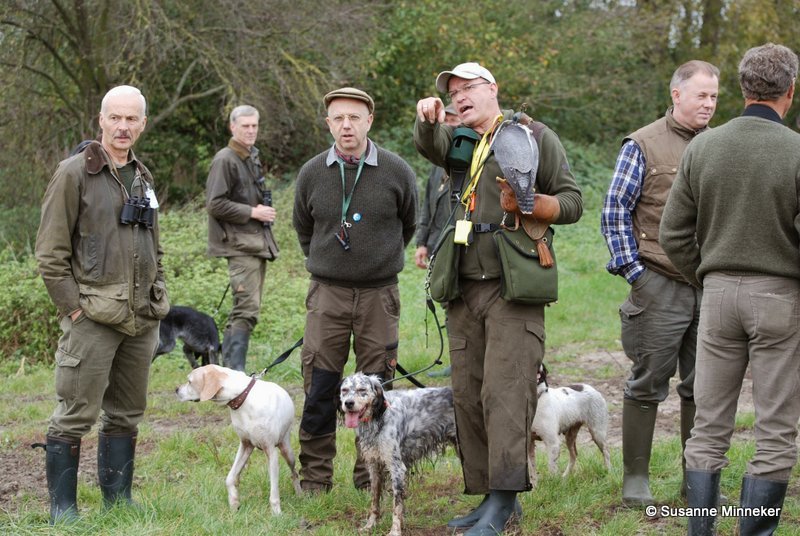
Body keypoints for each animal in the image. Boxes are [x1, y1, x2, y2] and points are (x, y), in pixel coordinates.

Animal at [175, 365, 302, 514]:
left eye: (189, 381)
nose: (176, 390)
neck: (244, 396)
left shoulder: (270, 450)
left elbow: (274, 492)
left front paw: (276, 513)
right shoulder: (245, 445)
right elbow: (229, 478)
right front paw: (234, 501)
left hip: (286, 451)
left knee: (294, 473)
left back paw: (300, 494)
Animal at [338, 372, 457, 536]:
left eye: (362, 389)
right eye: (344, 390)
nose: (348, 403)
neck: (378, 418)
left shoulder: (397, 468)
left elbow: (397, 506)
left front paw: (395, 531)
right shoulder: (374, 466)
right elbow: (374, 500)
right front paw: (370, 525)